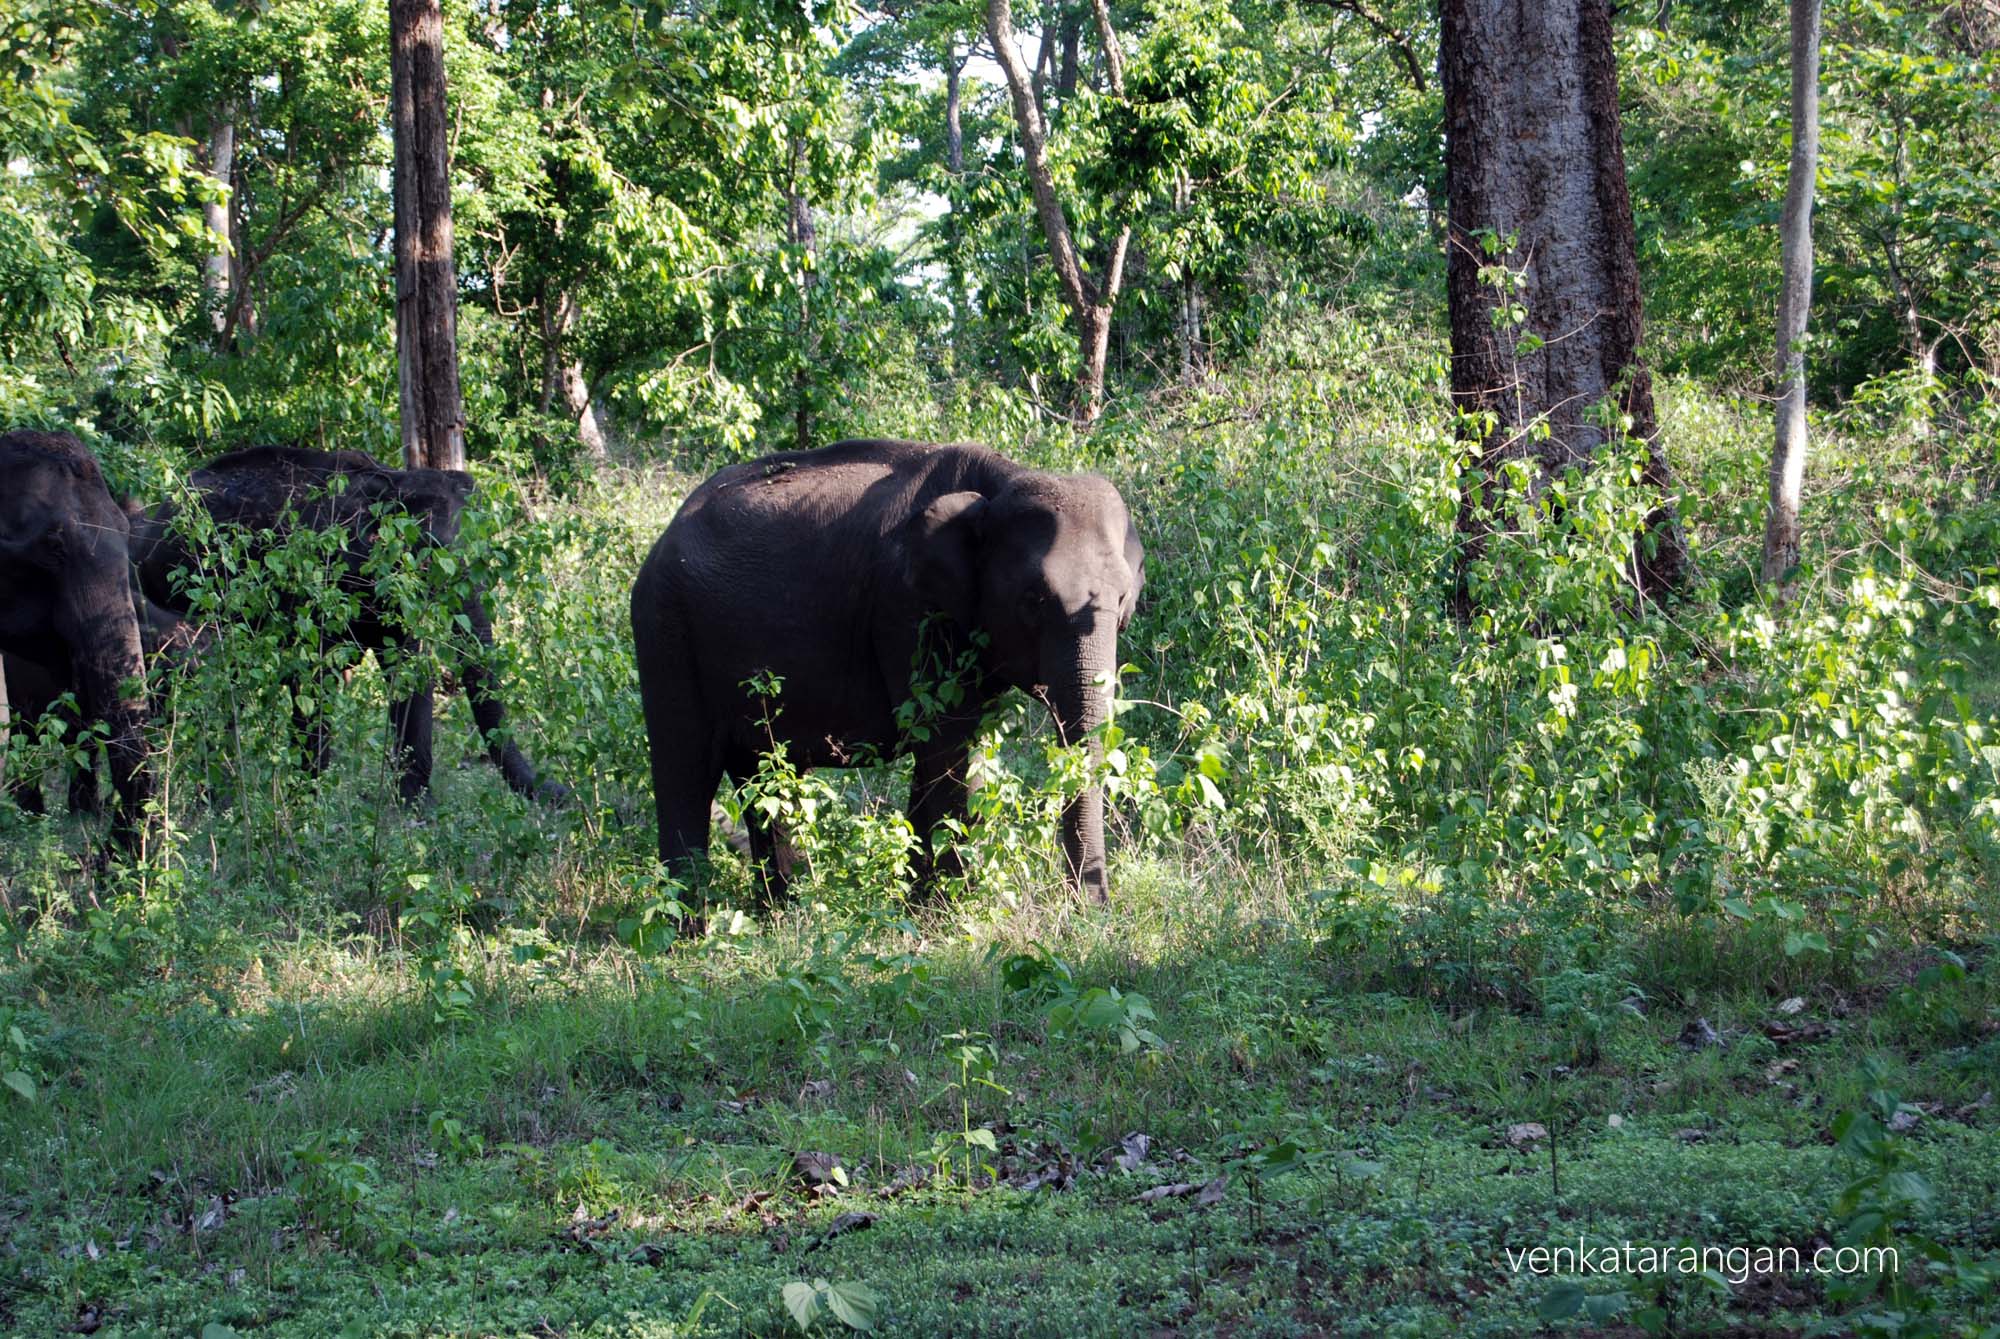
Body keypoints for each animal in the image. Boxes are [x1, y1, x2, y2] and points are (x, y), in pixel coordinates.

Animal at [127, 445, 564, 805]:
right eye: (431, 551)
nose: (562, 795)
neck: (392, 479)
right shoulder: (317, 578)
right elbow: (313, 675)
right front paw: (306, 806)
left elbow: (406, 669)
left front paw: (416, 808)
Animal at [630, 438, 1144, 903]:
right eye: (1034, 600)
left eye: (1123, 600)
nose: (1091, 910)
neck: (1001, 479)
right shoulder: (907, 607)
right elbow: (949, 746)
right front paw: (957, 916)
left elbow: (942, 749)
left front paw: (925, 914)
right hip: (663, 628)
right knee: (686, 771)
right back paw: (688, 931)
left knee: (765, 777)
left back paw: (784, 918)